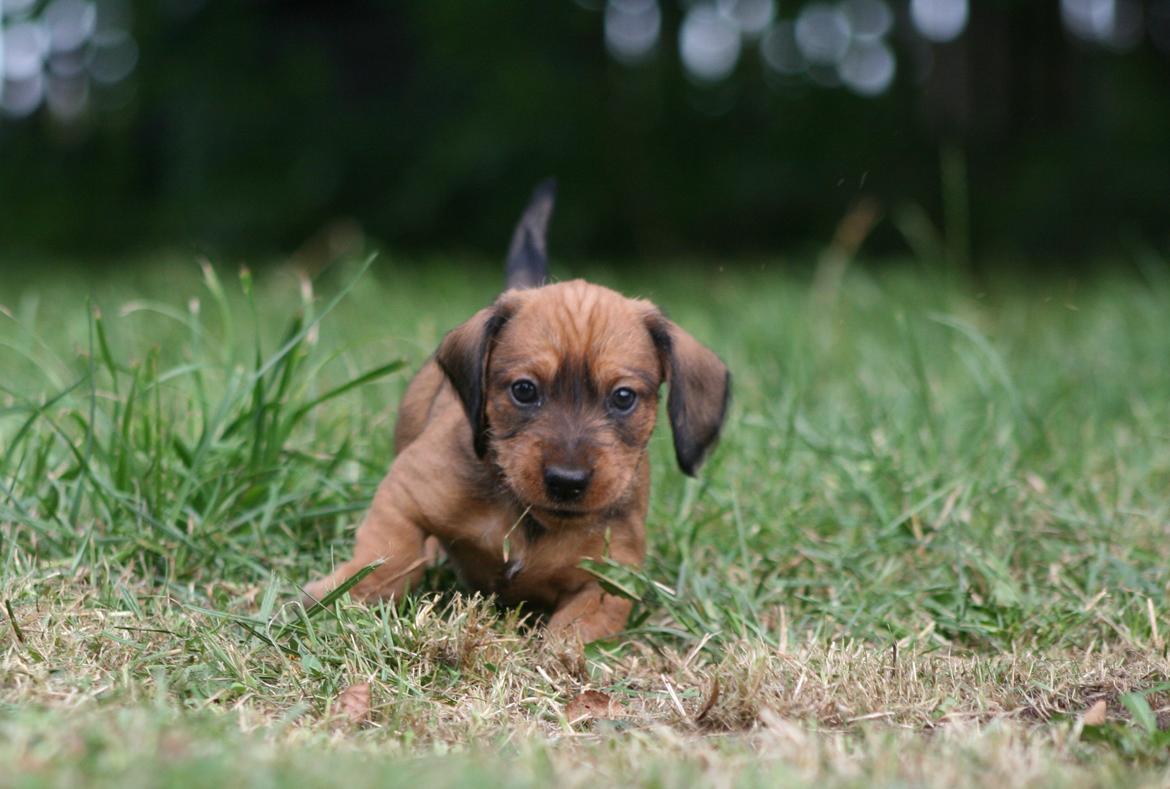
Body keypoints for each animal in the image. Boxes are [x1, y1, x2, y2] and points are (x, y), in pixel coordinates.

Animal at [311, 181, 730, 641]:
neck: (529, 518)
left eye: (623, 397)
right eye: (524, 390)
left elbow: (572, 632)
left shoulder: (608, 583)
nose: (567, 482)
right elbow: (392, 553)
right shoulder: (404, 493)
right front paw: (340, 593)